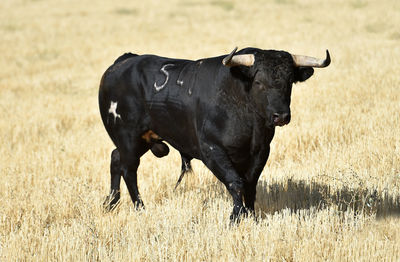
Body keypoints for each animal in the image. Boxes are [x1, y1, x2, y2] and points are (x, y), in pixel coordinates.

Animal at [98, 47, 330, 221]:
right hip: (128, 138)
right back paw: (140, 207)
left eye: (289, 82)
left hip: (142, 140)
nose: (280, 116)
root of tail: (124, 61)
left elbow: (250, 185)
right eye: (258, 82)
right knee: (129, 169)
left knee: (116, 158)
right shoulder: (212, 150)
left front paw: (251, 216)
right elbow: (235, 182)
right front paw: (235, 217)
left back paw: (111, 203)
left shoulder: (261, 151)